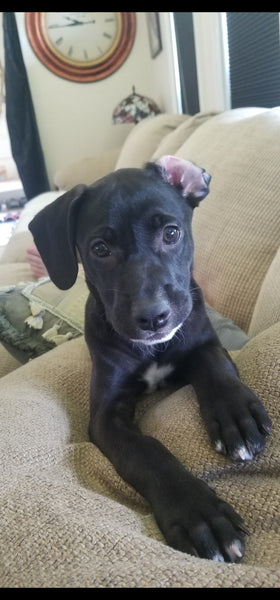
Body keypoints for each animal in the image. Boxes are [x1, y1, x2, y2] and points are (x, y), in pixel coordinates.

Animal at [29, 154, 272, 564]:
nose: (153, 317)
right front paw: (198, 514)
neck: (154, 349)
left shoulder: (204, 342)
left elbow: (217, 368)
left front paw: (237, 416)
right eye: (100, 249)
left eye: (171, 233)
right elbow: (147, 453)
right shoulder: (106, 415)